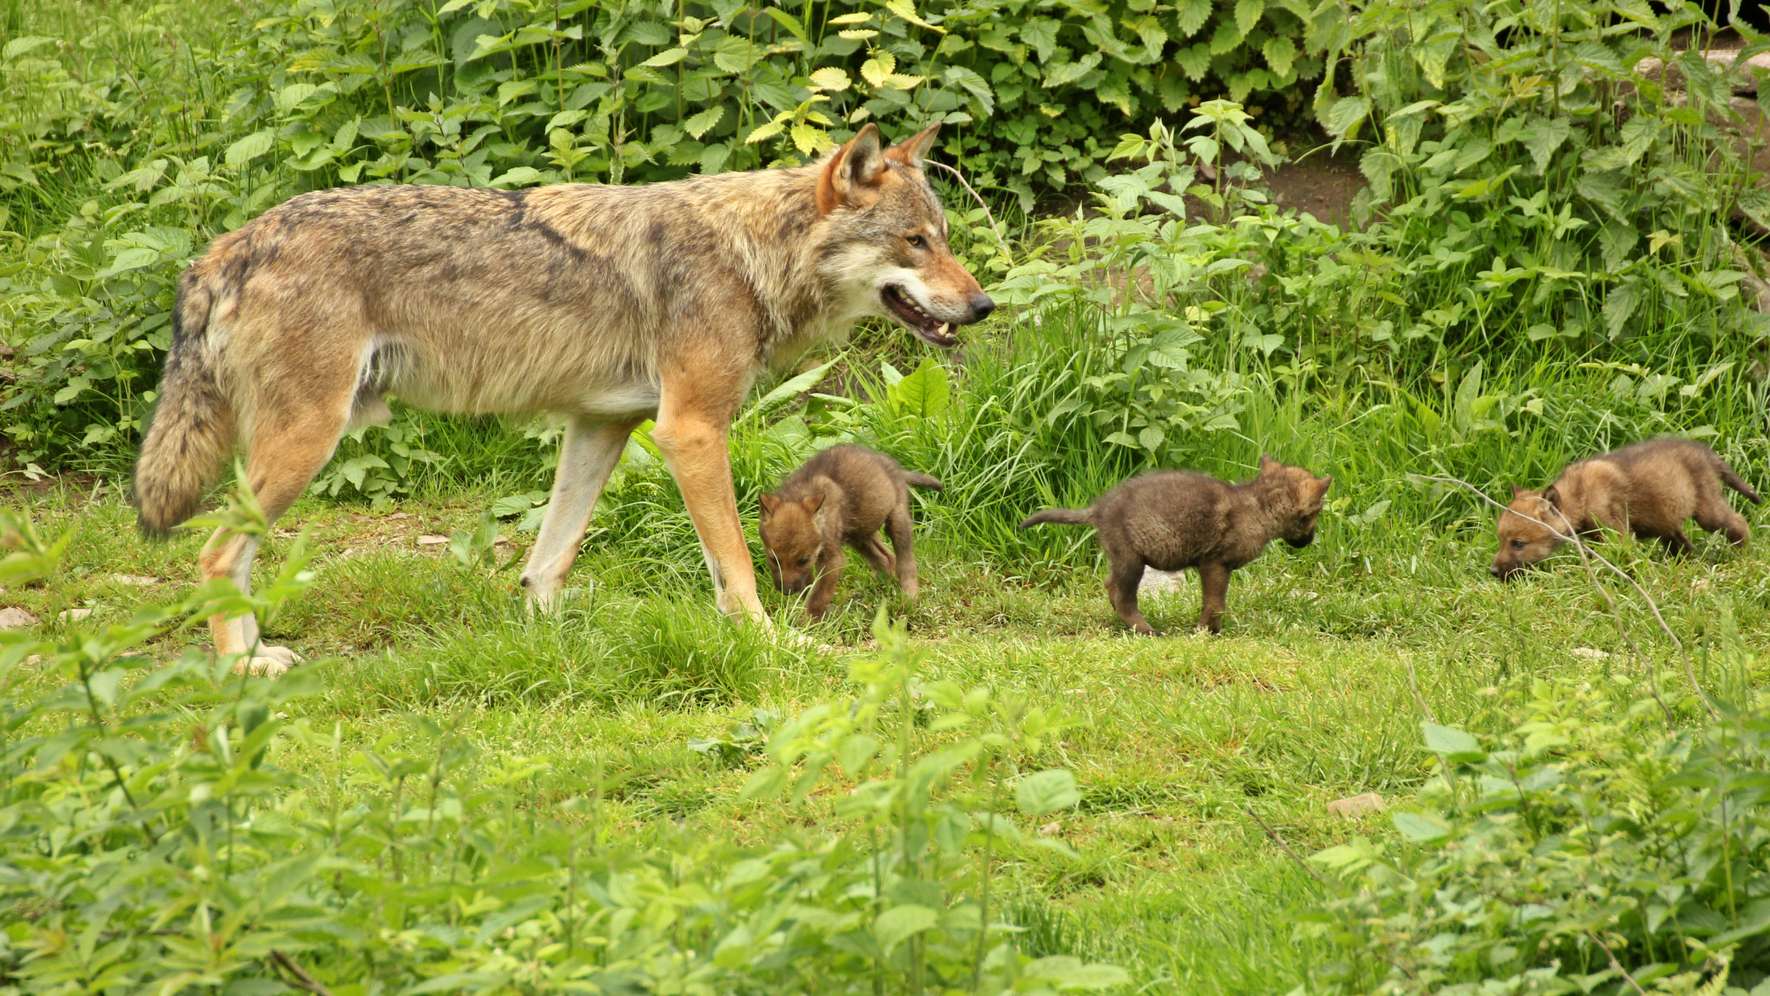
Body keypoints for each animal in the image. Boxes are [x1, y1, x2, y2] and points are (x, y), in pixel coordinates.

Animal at [758, 444, 941, 618]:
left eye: (803, 560)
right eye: (773, 559)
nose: (786, 591)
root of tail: (895, 467)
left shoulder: (832, 559)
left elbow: (817, 596)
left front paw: (808, 623)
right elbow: (810, 588)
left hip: (896, 520)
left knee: (905, 562)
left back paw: (909, 598)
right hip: (860, 534)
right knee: (885, 558)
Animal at [1020, 455, 1332, 634]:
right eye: (1315, 514)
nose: (1310, 540)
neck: (1259, 507)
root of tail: (1098, 509)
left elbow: (1214, 603)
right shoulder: (1215, 564)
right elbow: (1215, 604)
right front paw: (1206, 632)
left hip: (1121, 558)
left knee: (1111, 587)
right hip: (1132, 560)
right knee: (1123, 597)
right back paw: (1147, 630)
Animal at [1491, 437, 1760, 580]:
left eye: (1518, 543)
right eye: (1501, 540)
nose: (1493, 571)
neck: (1581, 495)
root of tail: (1704, 451)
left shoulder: (1618, 534)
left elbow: (1623, 561)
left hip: (1707, 511)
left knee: (1738, 523)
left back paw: (1743, 557)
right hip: (1665, 521)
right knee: (1684, 545)